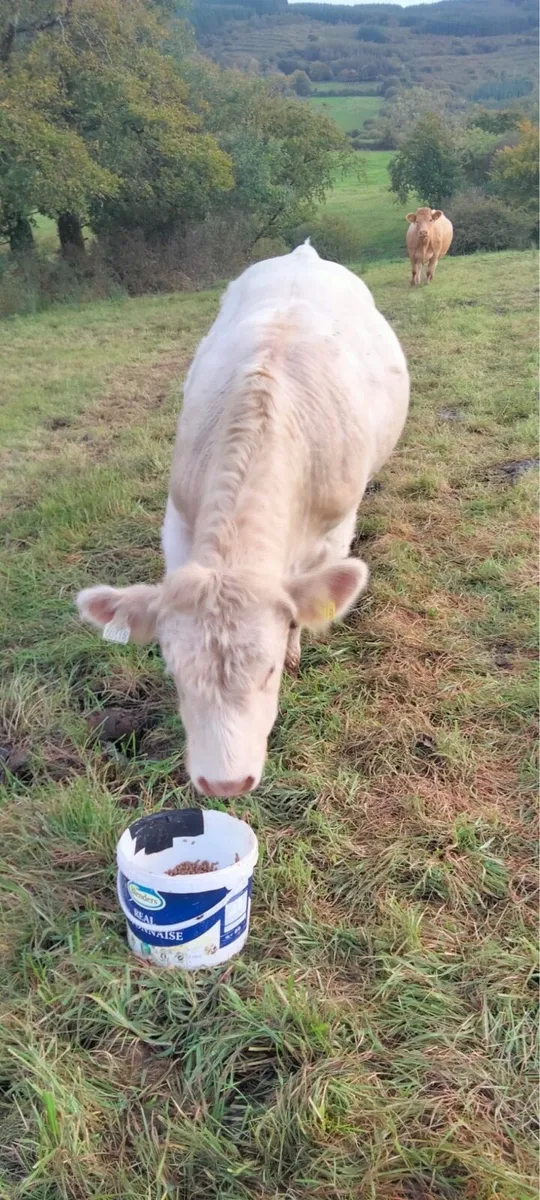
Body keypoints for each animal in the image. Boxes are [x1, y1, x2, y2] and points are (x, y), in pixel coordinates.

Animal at [77, 244, 409, 798]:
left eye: (269, 671)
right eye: (174, 672)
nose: (225, 783)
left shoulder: (335, 533)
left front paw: (297, 648)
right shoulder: (179, 524)